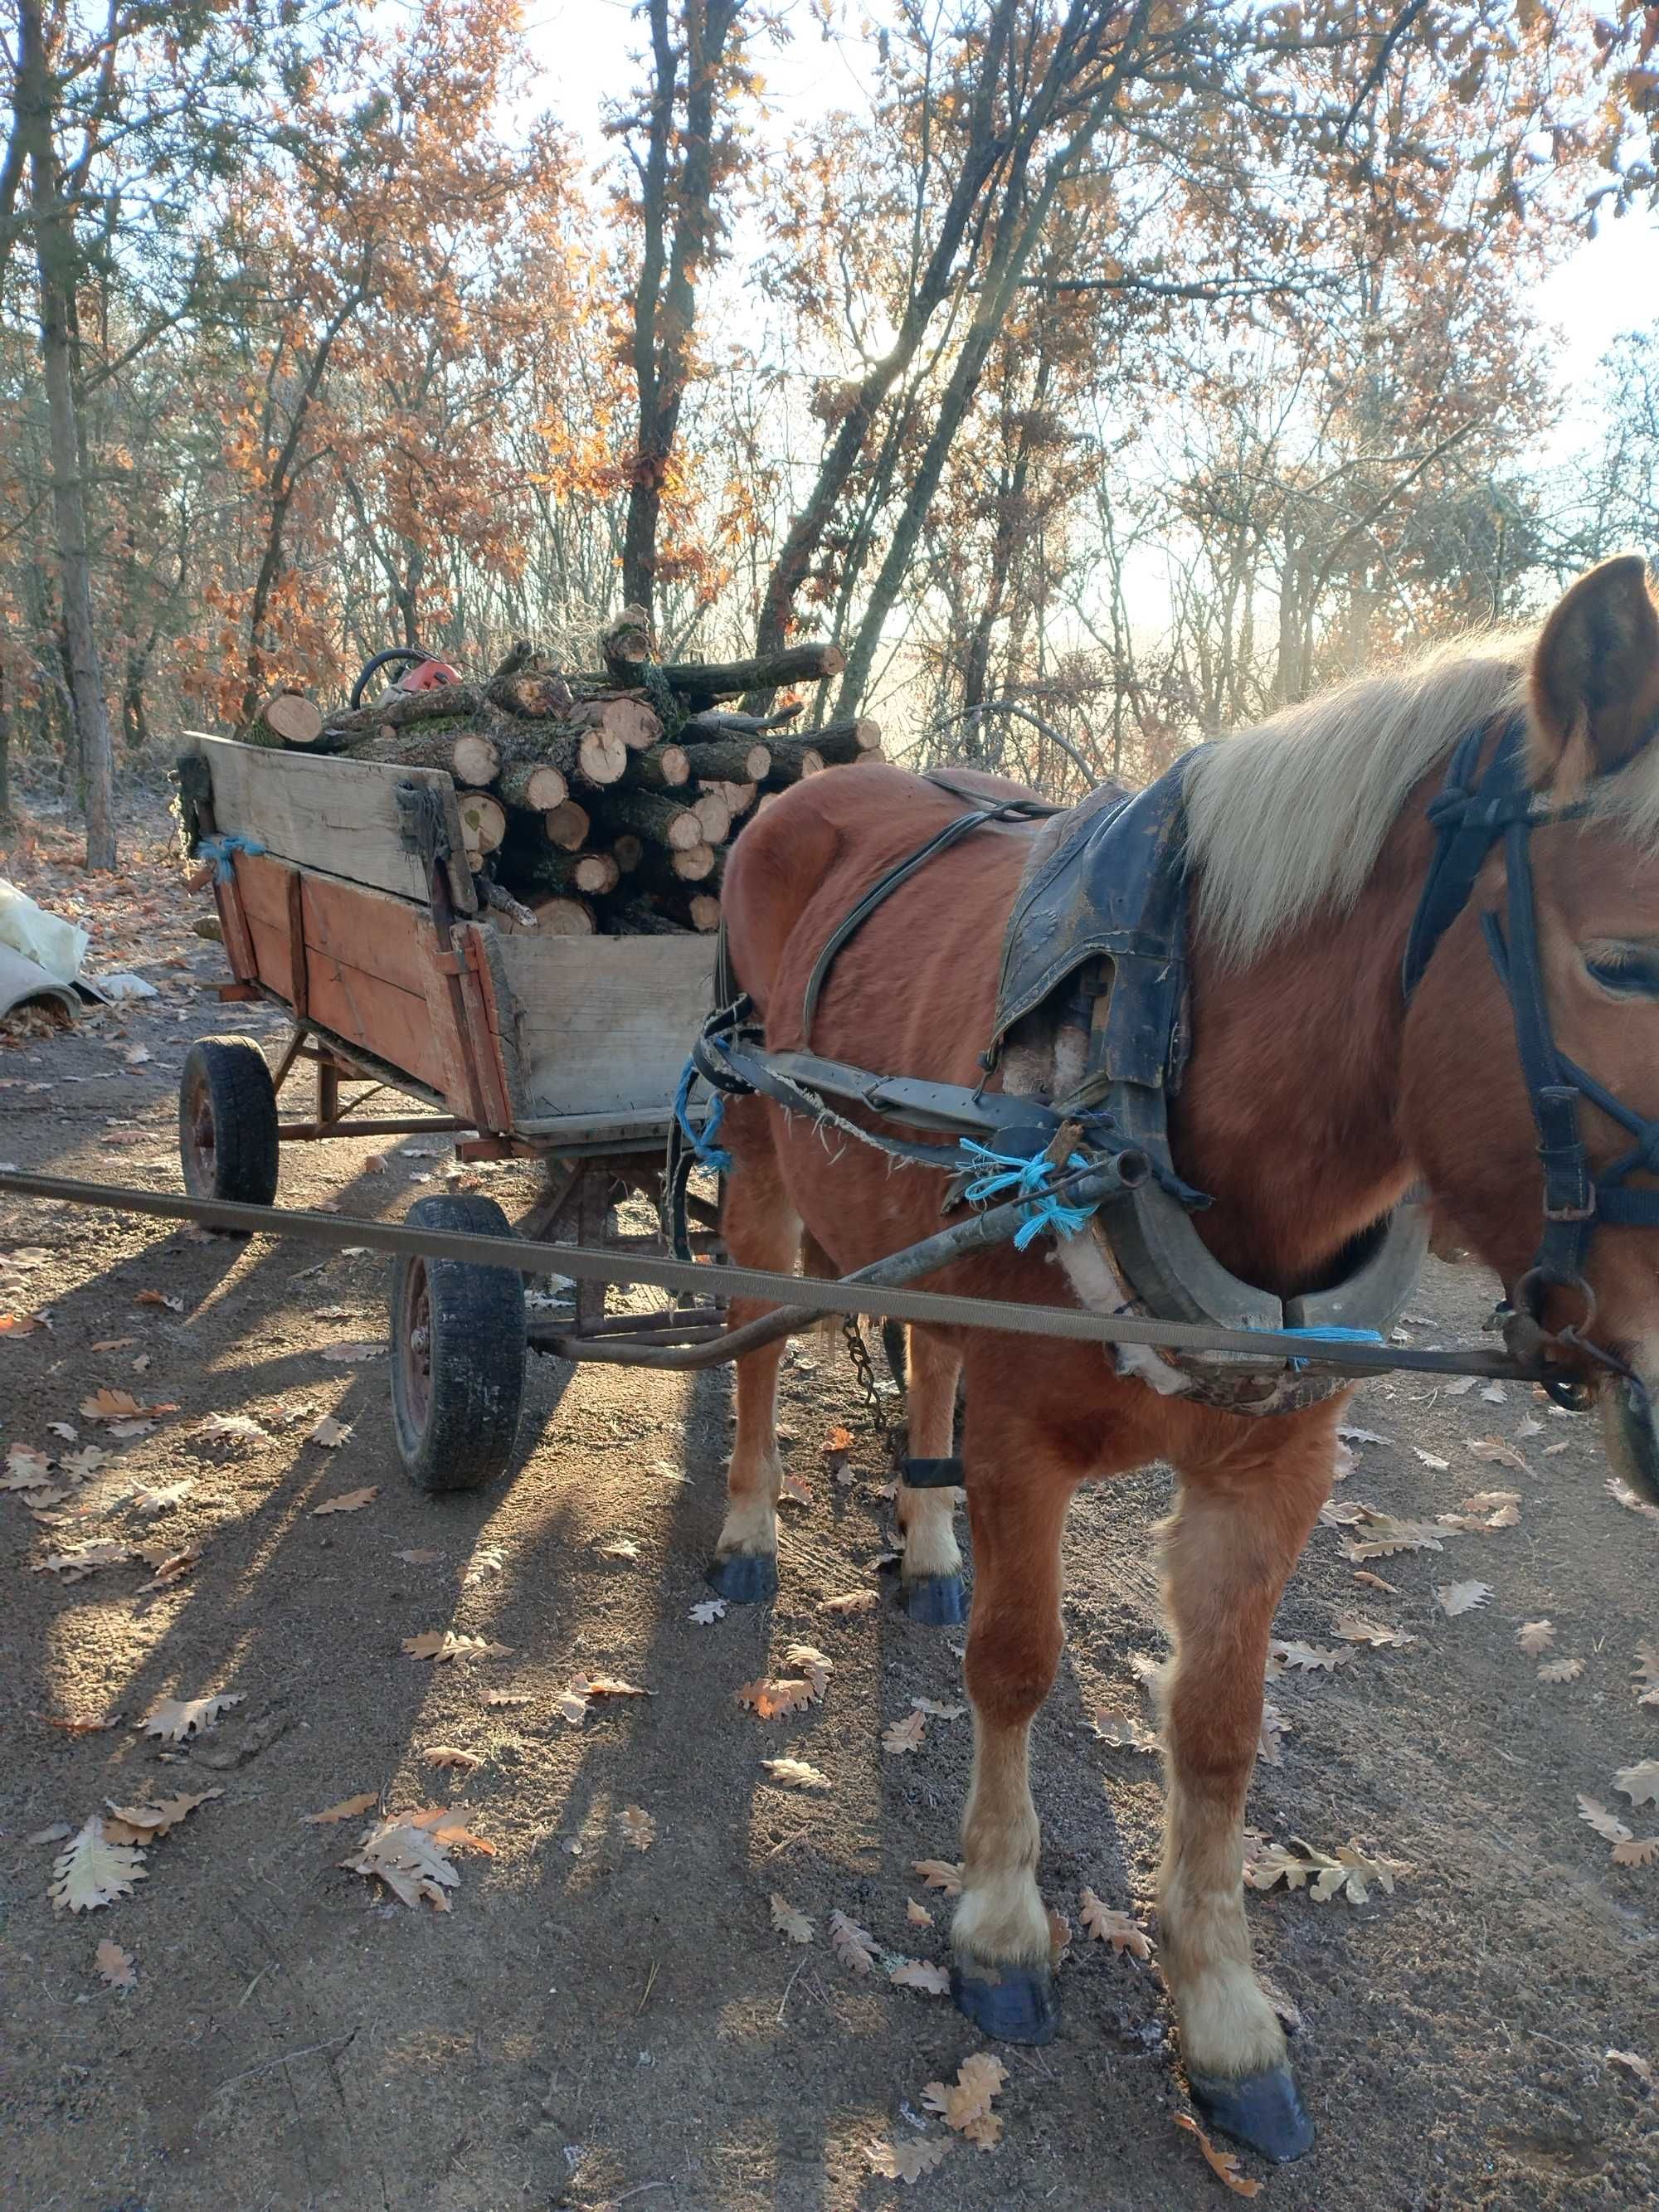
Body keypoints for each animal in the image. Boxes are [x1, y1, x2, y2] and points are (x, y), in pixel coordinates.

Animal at [703, 552, 1659, 2158]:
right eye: (1625, 961)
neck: (1157, 1072)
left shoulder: (1272, 1470)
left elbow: (1219, 1731)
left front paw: (1221, 2011)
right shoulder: (1028, 1443)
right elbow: (1017, 1663)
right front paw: (1001, 1924)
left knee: (930, 1354)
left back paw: (927, 1540)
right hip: (765, 1145)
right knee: (754, 1347)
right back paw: (749, 1527)